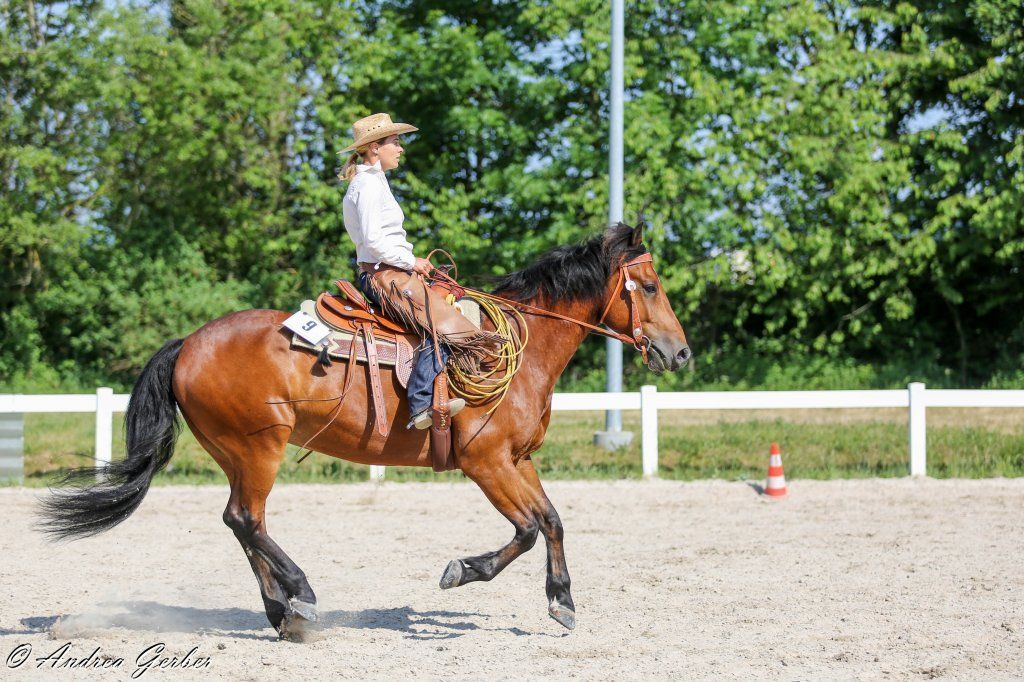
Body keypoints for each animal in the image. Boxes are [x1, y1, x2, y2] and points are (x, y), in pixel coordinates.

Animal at [38, 221, 690, 640]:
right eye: (650, 286)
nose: (679, 352)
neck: (520, 351)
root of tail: (187, 345)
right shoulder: (486, 463)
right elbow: (528, 529)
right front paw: (463, 572)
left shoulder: (517, 460)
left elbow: (551, 521)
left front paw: (563, 602)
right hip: (259, 449)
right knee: (246, 519)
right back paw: (300, 594)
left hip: (237, 454)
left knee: (242, 523)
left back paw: (284, 616)